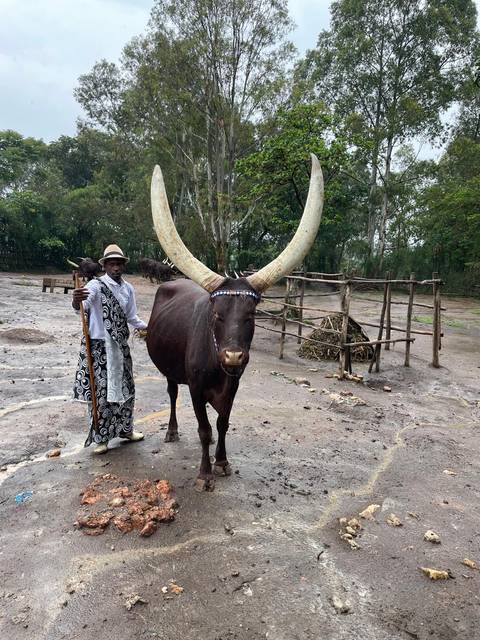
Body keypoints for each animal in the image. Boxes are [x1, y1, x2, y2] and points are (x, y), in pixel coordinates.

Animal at [147, 155, 324, 491]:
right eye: (216, 314)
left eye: (250, 315)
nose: (233, 356)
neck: (219, 368)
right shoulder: (196, 388)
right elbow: (204, 429)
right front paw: (204, 474)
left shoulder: (234, 386)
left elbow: (222, 423)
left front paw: (222, 462)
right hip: (170, 371)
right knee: (172, 394)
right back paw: (172, 431)